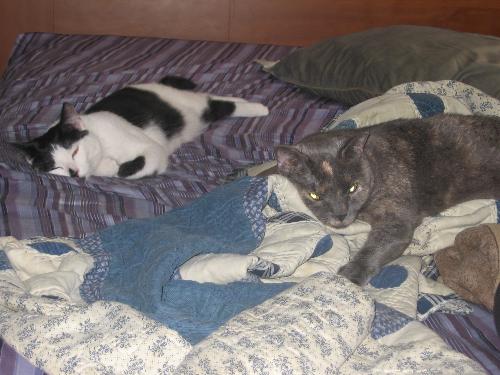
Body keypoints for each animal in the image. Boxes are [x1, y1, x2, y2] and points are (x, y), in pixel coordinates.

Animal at [13, 75, 268, 180]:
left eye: (74, 151)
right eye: (56, 167)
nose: (73, 172)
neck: (102, 144)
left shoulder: (152, 149)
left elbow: (128, 170)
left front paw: (118, 167)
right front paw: (107, 167)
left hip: (192, 108)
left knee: (217, 103)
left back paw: (259, 108)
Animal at [276, 114, 500, 284]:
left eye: (352, 188)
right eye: (315, 195)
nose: (340, 215)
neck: (373, 164)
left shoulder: (397, 222)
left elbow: (375, 248)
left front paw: (349, 275)